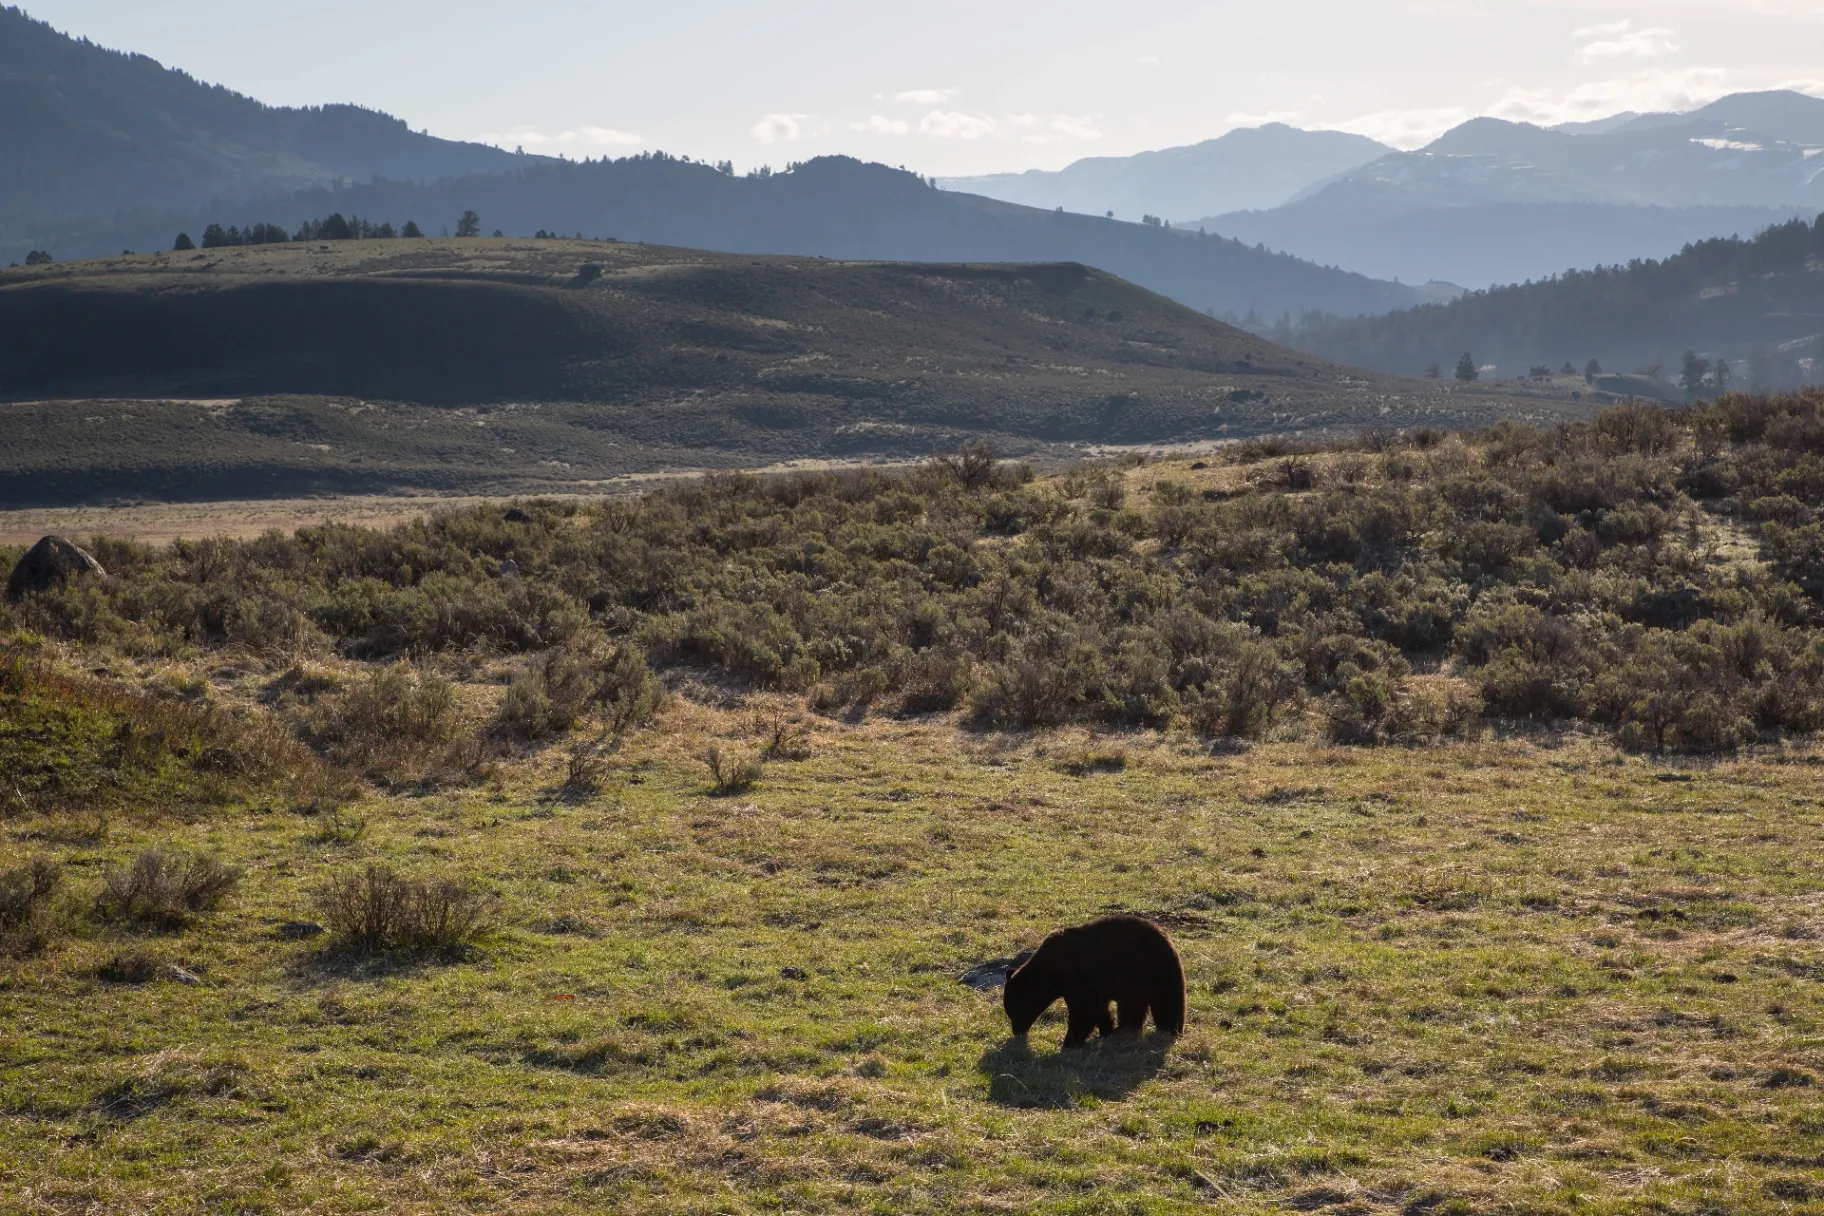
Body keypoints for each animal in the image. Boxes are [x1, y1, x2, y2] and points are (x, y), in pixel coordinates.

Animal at [1003, 915, 1186, 1048]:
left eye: (1014, 1011)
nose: (1016, 1031)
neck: (1053, 973)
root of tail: (1168, 938)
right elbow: (1098, 1009)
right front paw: (1107, 1030)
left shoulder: (1079, 977)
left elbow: (1084, 1009)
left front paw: (1069, 1042)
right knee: (1133, 1006)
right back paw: (1125, 1028)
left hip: (1154, 970)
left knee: (1166, 1002)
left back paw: (1170, 1030)